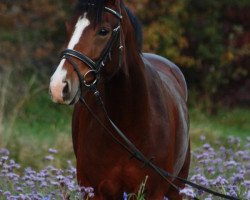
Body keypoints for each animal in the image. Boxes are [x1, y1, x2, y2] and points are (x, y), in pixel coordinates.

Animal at [48, 0, 189, 198]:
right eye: (68, 27)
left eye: (103, 31)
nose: (58, 86)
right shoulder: (93, 192)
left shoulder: (153, 193)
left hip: (177, 188)